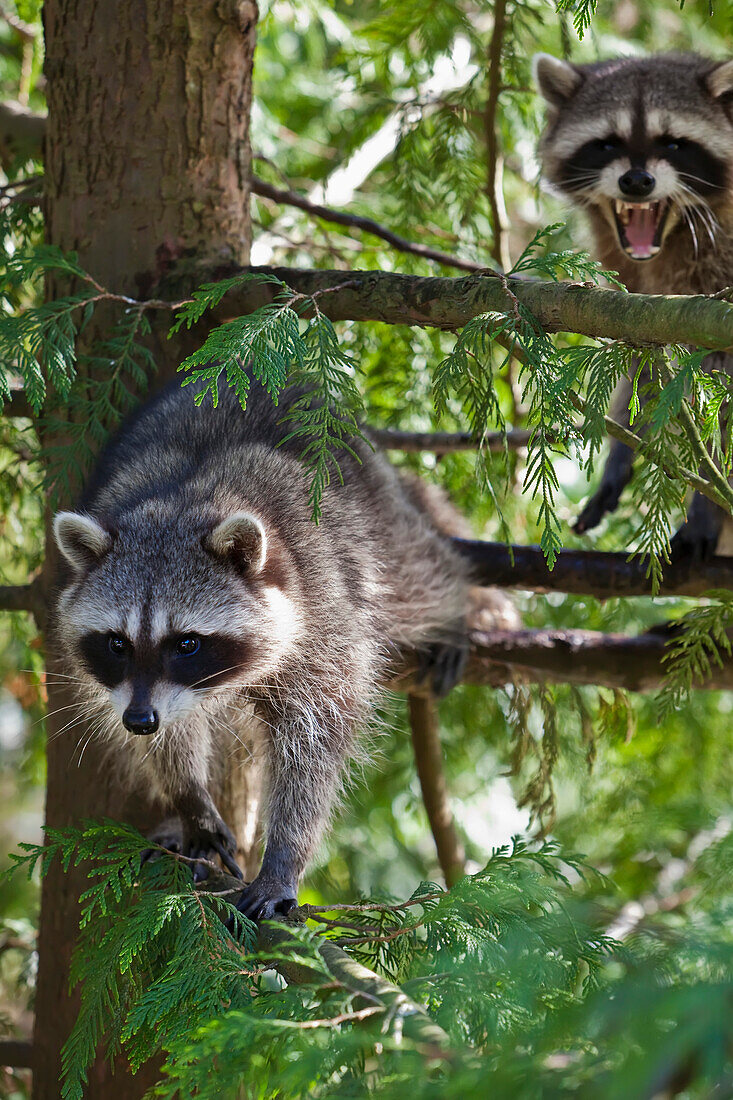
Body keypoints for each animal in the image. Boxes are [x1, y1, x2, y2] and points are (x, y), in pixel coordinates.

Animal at [51, 378, 473, 919]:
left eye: (187, 643)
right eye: (117, 643)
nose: (139, 720)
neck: (181, 503)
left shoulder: (323, 613)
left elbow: (316, 742)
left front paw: (284, 855)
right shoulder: (135, 691)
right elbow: (174, 735)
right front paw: (190, 802)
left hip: (373, 523)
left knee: (418, 574)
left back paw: (456, 602)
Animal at [530, 51, 730, 558]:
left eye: (674, 143)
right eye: (606, 144)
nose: (636, 181)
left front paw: (707, 502)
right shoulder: (637, 292)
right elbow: (641, 359)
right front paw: (620, 455)